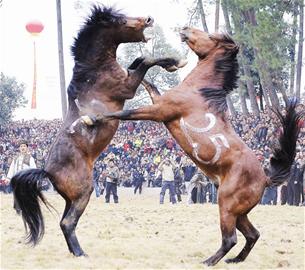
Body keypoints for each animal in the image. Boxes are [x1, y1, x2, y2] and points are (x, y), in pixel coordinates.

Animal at [10, 5, 184, 256]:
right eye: (121, 21)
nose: (148, 19)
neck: (95, 73)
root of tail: (47, 172)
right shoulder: (127, 88)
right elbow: (145, 61)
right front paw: (175, 62)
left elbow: (139, 60)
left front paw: (170, 63)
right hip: (84, 191)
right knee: (67, 222)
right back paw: (81, 253)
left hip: (71, 198)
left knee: (65, 222)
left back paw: (74, 252)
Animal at [89, 28, 302, 266]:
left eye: (210, 37)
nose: (185, 29)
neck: (198, 91)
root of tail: (265, 178)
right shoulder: (159, 103)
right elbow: (149, 83)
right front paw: (146, 63)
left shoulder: (159, 111)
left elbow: (123, 113)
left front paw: (92, 118)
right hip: (239, 213)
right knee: (252, 235)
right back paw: (234, 260)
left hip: (226, 206)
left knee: (230, 239)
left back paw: (208, 261)